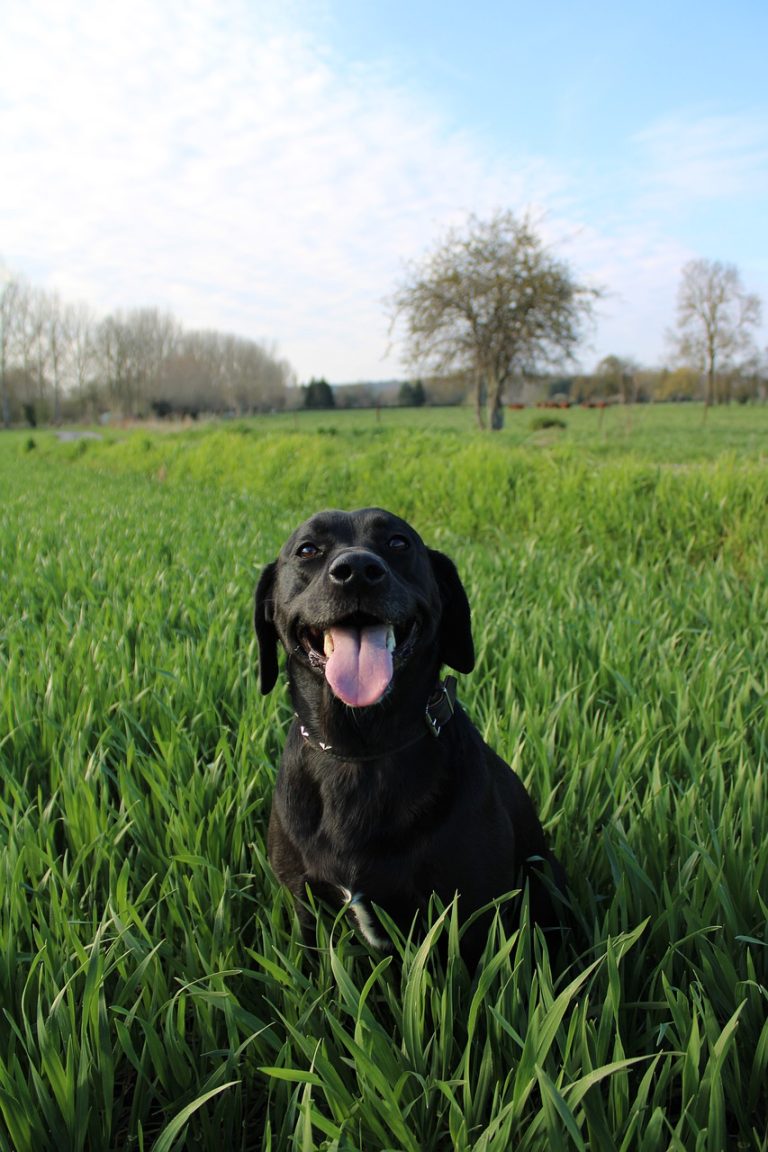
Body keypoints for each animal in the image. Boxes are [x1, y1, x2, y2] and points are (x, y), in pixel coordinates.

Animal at [255, 506, 561, 963]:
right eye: (307, 549)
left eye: (398, 542)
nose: (357, 571)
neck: (361, 751)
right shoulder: (306, 909)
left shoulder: (472, 922)